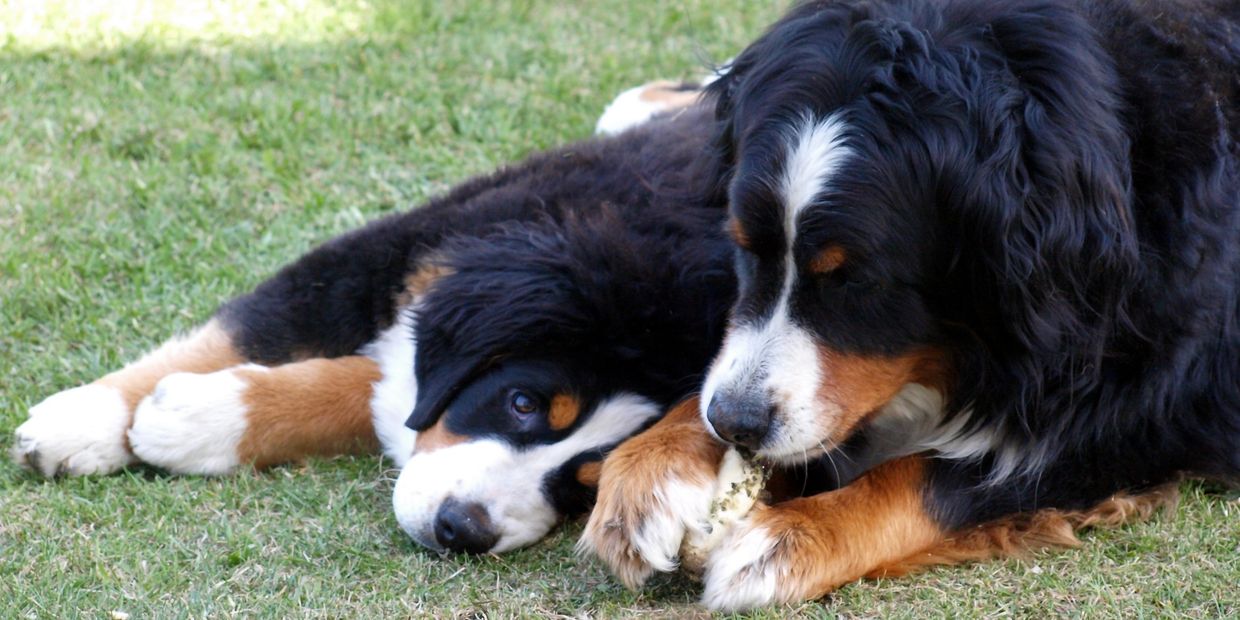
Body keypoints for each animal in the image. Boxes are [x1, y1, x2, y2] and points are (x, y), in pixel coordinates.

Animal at [580, 0, 1240, 610]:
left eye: (857, 282)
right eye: (743, 246)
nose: (736, 421)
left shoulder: (1137, 411)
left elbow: (935, 478)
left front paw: (790, 539)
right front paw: (652, 471)